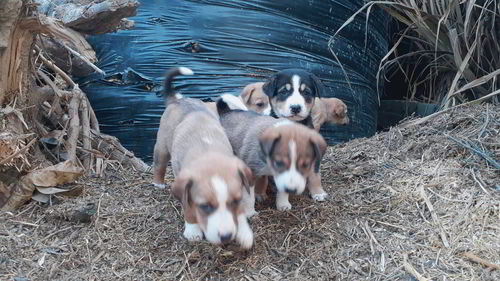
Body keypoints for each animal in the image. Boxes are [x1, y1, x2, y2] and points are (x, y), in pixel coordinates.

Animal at [151, 66, 254, 248]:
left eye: (235, 201)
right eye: (205, 207)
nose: (227, 236)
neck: (209, 152)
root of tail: (178, 99)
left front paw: (244, 233)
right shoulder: (186, 192)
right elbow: (189, 210)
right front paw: (192, 230)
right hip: (162, 147)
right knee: (159, 165)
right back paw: (158, 183)